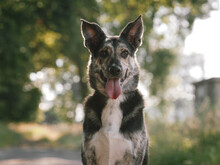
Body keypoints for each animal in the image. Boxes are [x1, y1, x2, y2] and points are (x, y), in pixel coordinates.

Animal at [80, 15, 149, 165]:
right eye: (103, 53)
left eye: (125, 53)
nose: (115, 70)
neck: (113, 102)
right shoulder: (89, 153)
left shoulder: (134, 155)